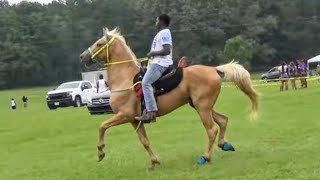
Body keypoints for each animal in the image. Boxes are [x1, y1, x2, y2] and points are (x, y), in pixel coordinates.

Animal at [79, 27, 258, 169]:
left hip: (202, 107)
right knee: (223, 120)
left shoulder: (125, 115)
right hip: (200, 105)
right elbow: (144, 141)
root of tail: (214, 69)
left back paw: (204, 157)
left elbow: (102, 126)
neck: (125, 78)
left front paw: (101, 152)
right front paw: (154, 162)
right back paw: (224, 144)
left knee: (212, 129)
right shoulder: (135, 120)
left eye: (99, 44)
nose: (82, 57)